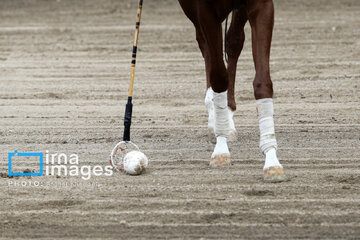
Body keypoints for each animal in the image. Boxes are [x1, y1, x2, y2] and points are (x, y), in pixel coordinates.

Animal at [179, 0, 286, 181]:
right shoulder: (205, 11)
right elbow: (219, 78)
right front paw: (221, 150)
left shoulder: (261, 6)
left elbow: (262, 82)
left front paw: (272, 161)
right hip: (191, 11)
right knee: (205, 46)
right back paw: (214, 118)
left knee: (233, 41)